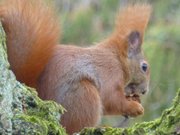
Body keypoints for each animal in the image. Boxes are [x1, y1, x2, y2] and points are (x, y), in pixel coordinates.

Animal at [0, 0, 151, 134]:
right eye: (144, 67)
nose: (144, 91)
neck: (118, 59)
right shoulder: (110, 74)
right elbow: (112, 100)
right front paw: (135, 107)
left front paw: (134, 100)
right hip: (83, 95)